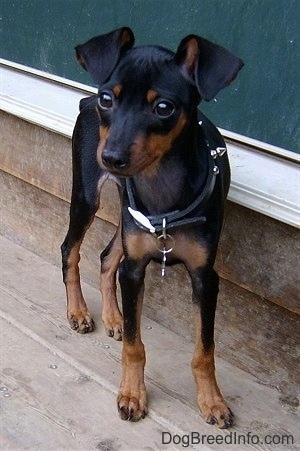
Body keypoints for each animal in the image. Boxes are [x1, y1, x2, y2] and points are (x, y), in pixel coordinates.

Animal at [61, 26, 244, 430]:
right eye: (108, 99)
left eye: (163, 107)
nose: (111, 157)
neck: (161, 187)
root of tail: (82, 101)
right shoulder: (135, 268)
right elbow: (135, 345)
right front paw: (131, 394)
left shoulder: (204, 277)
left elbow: (205, 350)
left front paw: (212, 401)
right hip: (87, 196)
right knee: (70, 249)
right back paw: (79, 311)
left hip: (126, 217)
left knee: (106, 255)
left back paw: (113, 316)